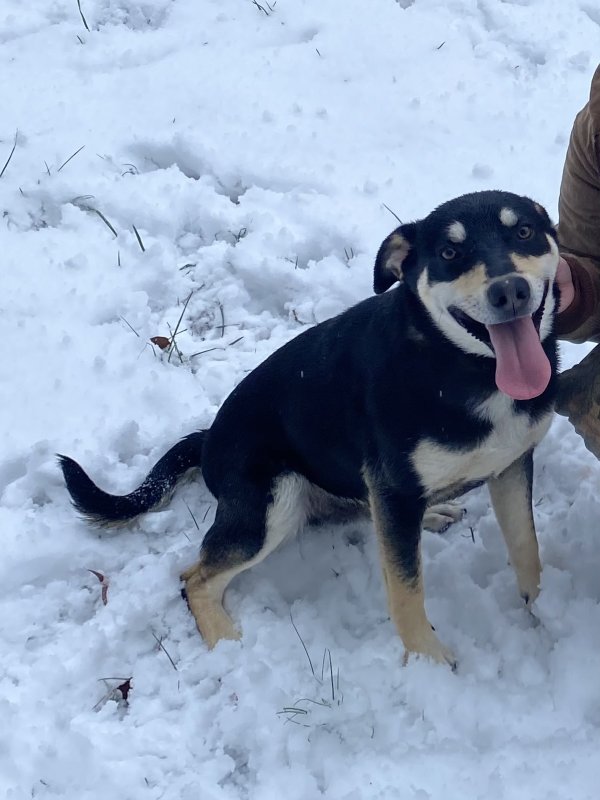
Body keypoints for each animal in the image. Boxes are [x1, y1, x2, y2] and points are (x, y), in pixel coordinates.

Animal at [58, 191, 560, 664]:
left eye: (524, 232)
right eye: (450, 253)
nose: (509, 291)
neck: (468, 369)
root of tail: (207, 441)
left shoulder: (510, 464)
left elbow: (527, 548)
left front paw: (541, 612)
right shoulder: (393, 484)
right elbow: (405, 589)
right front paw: (428, 661)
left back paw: (432, 512)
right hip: (272, 501)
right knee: (194, 577)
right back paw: (225, 639)